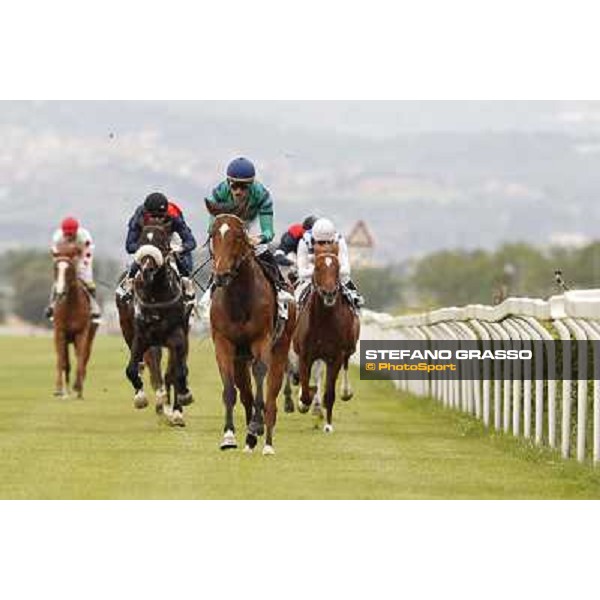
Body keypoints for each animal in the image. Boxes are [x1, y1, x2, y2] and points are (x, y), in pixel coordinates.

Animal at [51, 239, 98, 398]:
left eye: (69, 269)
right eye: (55, 268)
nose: (60, 292)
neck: (71, 305)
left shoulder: (81, 332)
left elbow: (81, 357)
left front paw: (79, 387)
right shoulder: (60, 332)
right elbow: (61, 360)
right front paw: (59, 389)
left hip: (90, 334)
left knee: (84, 357)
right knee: (66, 361)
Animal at [123, 221, 193, 426]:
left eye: (161, 242)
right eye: (141, 241)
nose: (147, 270)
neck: (156, 296)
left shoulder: (177, 337)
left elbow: (178, 372)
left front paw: (180, 404)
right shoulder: (141, 336)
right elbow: (131, 369)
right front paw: (140, 398)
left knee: (177, 371)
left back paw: (176, 409)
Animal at [205, 198, 296, 454]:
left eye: (238, 235)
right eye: (212, 234)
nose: (221, 275)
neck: (239, 299)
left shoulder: (261, 340)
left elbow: (260, 377)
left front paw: (256, 426)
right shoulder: (224, 343)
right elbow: (230, 390)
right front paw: (229, 436)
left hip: (280, 348)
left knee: (271, 397)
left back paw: (266, 442)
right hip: (240, 357)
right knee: (245, 393)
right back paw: (250, 440)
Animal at [292, 246, 358, 434]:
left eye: (337, 267)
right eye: (317, 267)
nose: (329, 293)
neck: (324, 321)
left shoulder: (334, 357)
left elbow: (329, 394)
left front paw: (328, 425)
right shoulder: (305, 355)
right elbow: (305, 389)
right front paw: (303, 402)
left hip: (347, 349)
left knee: (345, 364)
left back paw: (345, 392)